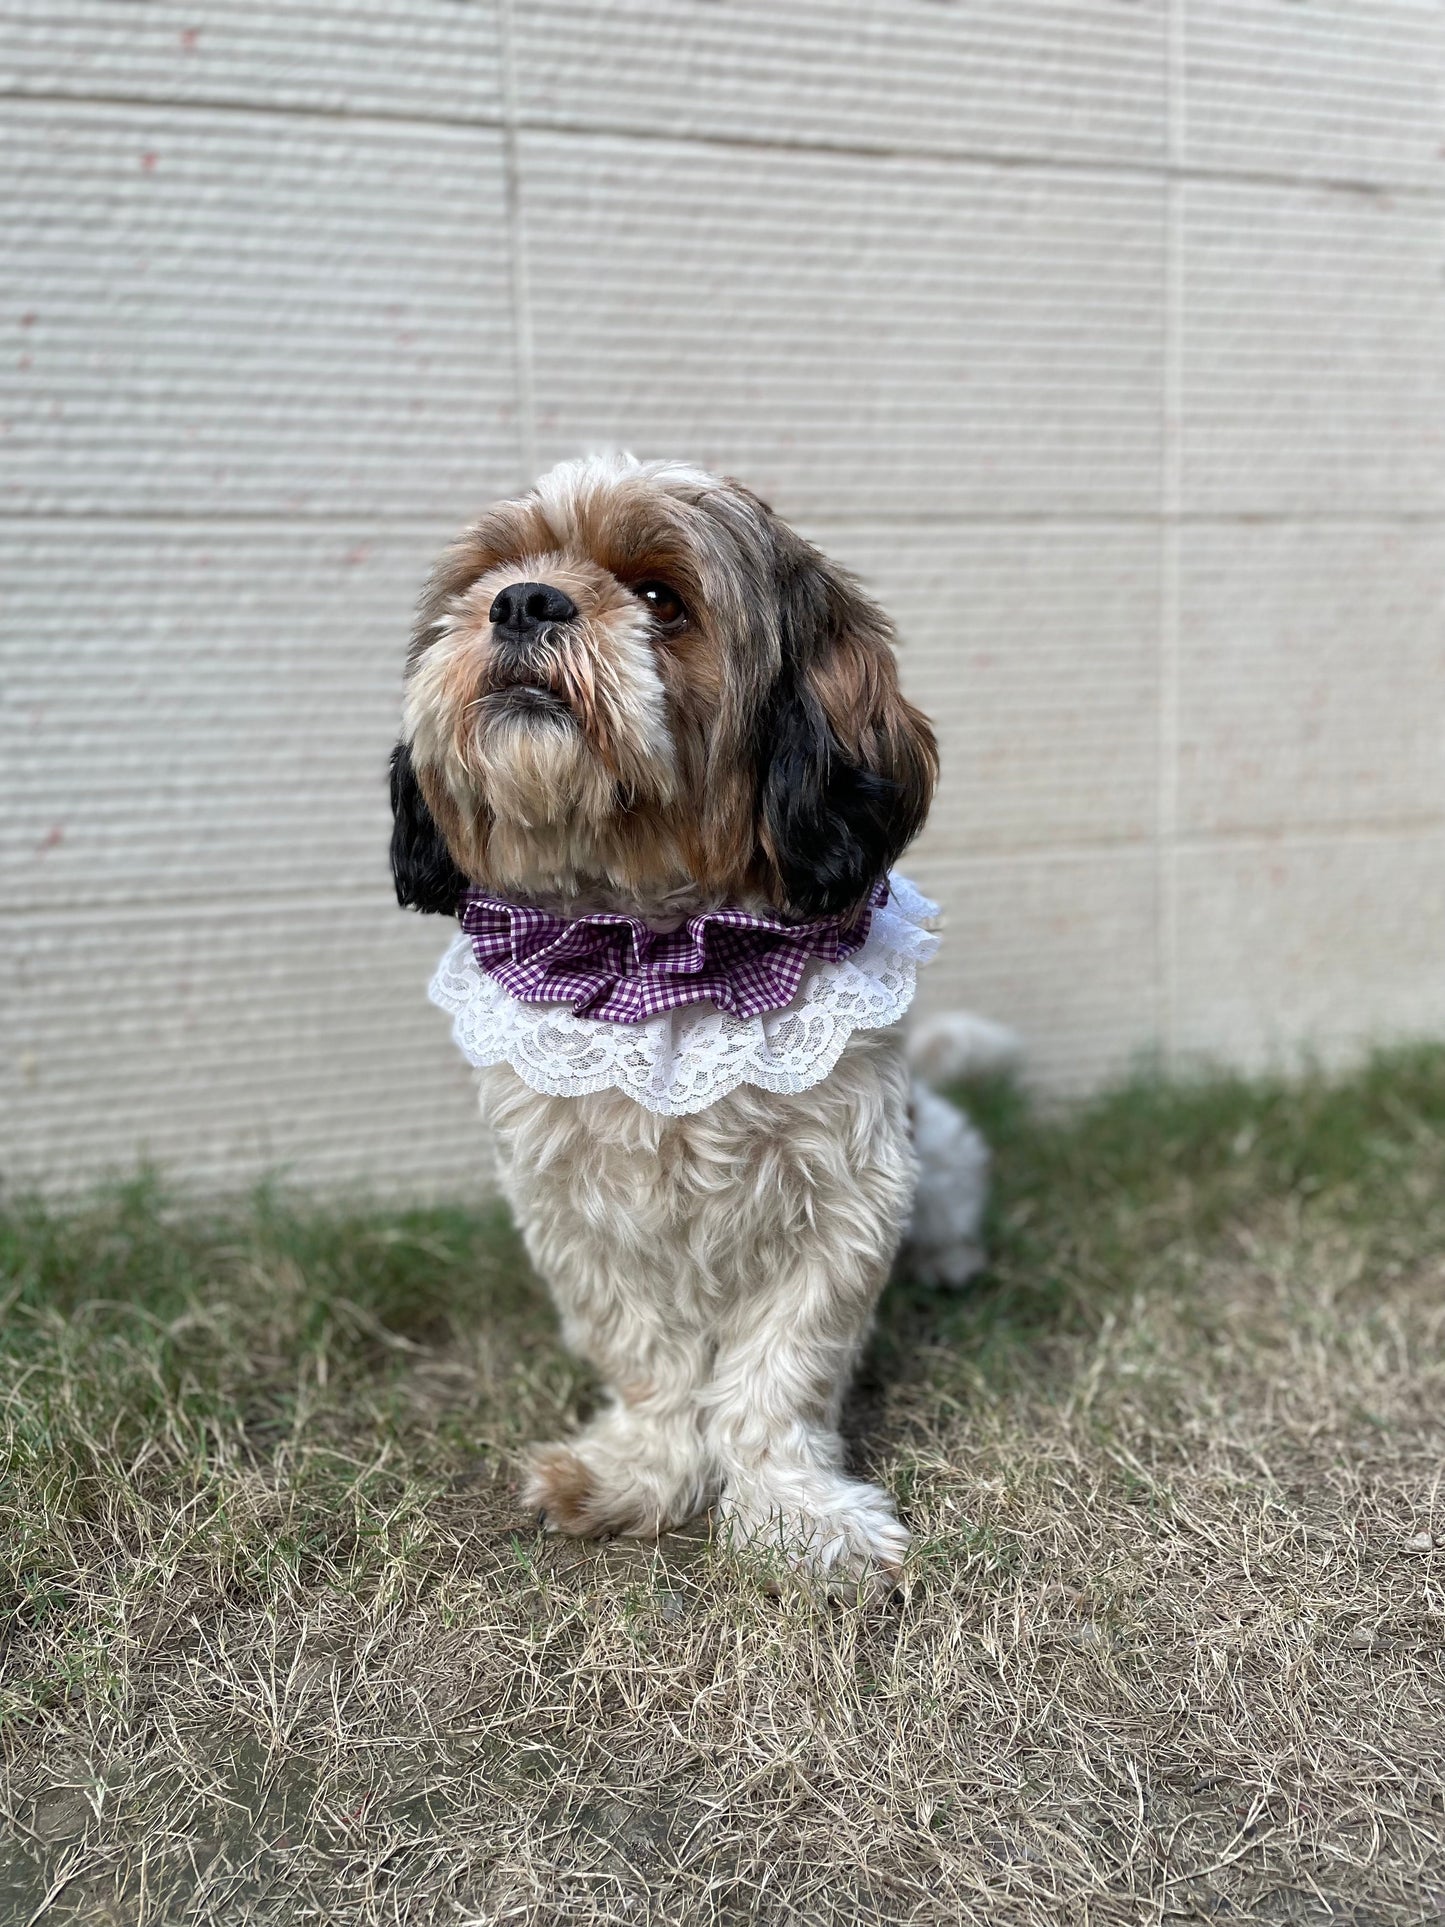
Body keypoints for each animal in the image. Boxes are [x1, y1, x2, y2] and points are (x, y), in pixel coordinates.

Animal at [391, 454, 1009, 1595]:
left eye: (660, 599)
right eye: (489, 572)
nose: (524, 600)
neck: (654, 947)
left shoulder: (845, 1197)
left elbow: (779, 1376)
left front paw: (795, 1516)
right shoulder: (575, 1209)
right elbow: (650, 1360)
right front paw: (639, 1473)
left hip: (936, 1152)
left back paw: (947, 1263)